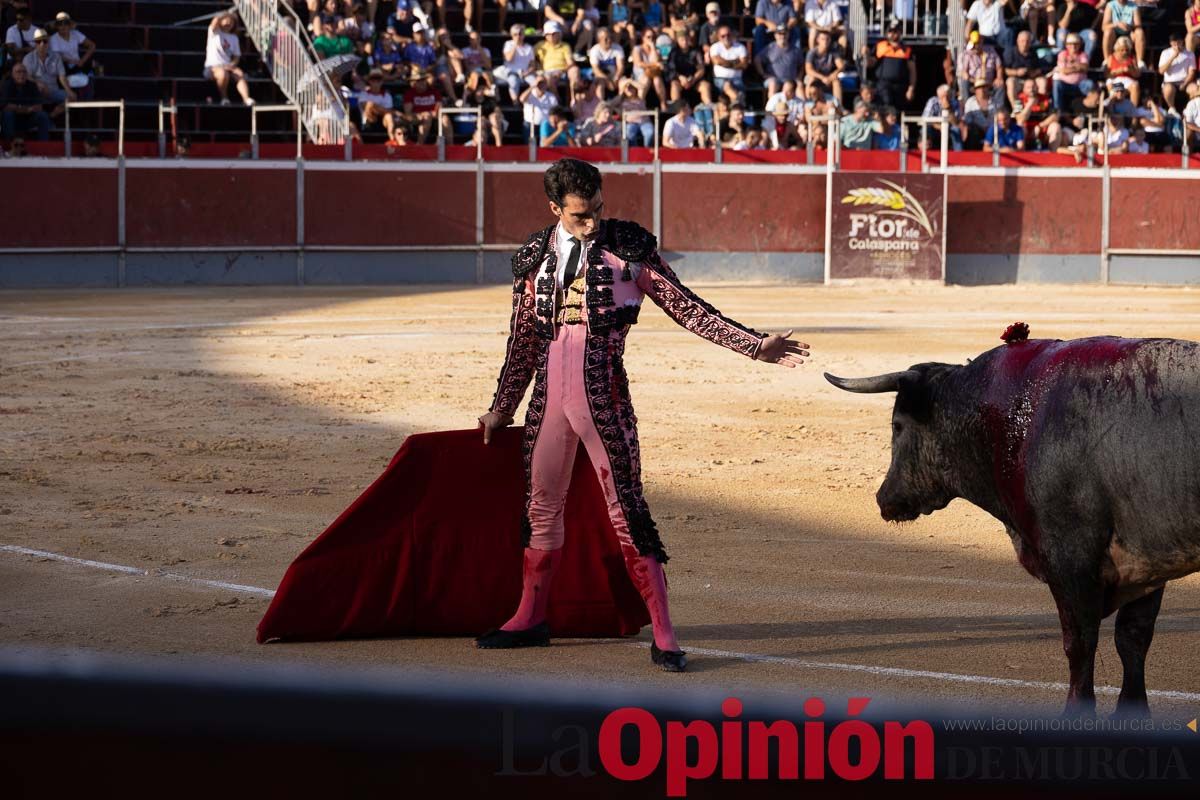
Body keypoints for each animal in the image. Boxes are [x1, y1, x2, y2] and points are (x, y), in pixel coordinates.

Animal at [830, 326, 1200, 714]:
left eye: (897, 426)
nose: (883, 498)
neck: (1001, 415)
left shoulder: (1070, 560)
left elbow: (1080, 644)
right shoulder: (1147, 566)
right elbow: (1133, 640)